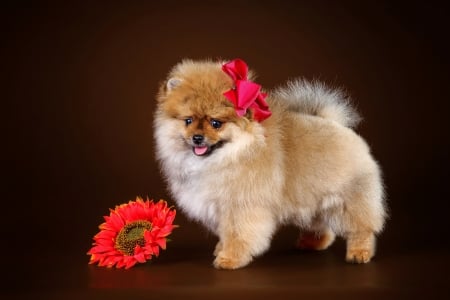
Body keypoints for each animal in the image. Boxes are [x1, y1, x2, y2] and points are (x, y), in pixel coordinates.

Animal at [155, 58, 386, 270]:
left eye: (216, 123)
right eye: (188, 121)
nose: (197, 138)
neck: (229, 155)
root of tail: (335, 124)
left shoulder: (241, 206)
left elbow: (237, 234)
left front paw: (230, 258)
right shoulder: (220, 207)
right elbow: (224, 233)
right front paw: (221, 248)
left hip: (349, 198)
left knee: (361, 227)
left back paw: (359, 252)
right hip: (314, 197)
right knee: (320, 223)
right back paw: (312, 242)